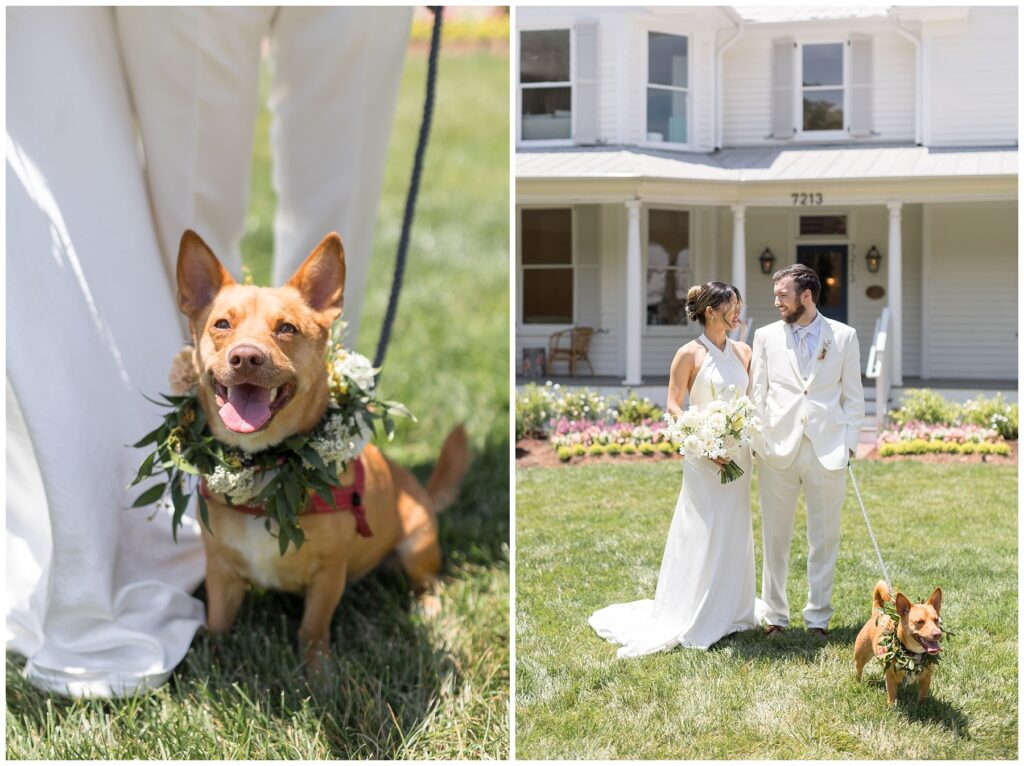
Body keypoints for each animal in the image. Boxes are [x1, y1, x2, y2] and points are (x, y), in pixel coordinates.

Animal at [174, 227, 468, 671]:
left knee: (428, 581)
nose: (245, 357)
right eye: (222, 324)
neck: (265, 464)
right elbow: (220, 620)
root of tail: (419, 491)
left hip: (417, 541)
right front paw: (211, 655)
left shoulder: (329, 576)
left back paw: (429, 606)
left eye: (287, 329)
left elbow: (313, 628)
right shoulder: (220, 572)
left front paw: (318, 672)